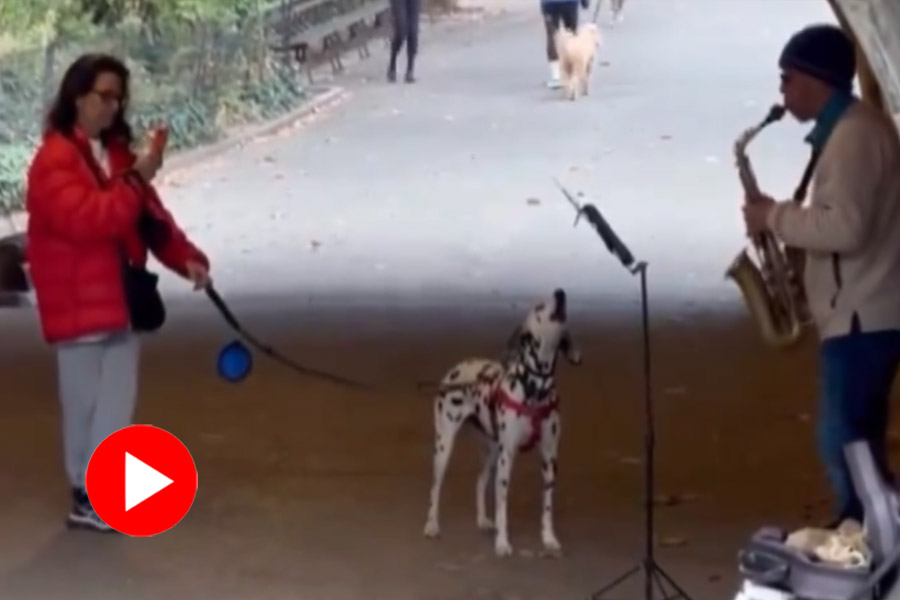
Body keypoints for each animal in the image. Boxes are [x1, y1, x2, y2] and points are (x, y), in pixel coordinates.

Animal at [424, 288, 584, 556]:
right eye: (539, 307)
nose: (560, 292)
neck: (535, 389)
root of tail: (456, 370)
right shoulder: (507, 456)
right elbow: (502, 506)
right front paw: (502, 543)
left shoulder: (549, 459)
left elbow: (547, 507)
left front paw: (549, 539)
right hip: (444, 448)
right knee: (435, 488)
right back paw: (432, 525)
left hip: (490, 453)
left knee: (479, 483)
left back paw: (482, 520)